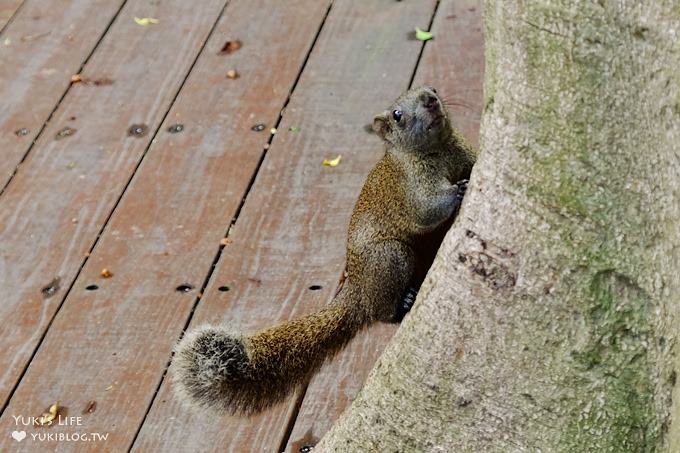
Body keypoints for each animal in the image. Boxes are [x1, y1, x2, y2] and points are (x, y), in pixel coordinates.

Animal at [173, 85, 476, 414]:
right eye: (397, 115)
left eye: (430, 89)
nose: (431, 100)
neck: (439, 150)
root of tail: (356, 288)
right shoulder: (410, 187)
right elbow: (426, 209)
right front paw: (459, 190)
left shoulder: (463, 151)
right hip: (389, 257)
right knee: (380, 311)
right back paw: (402, 303)